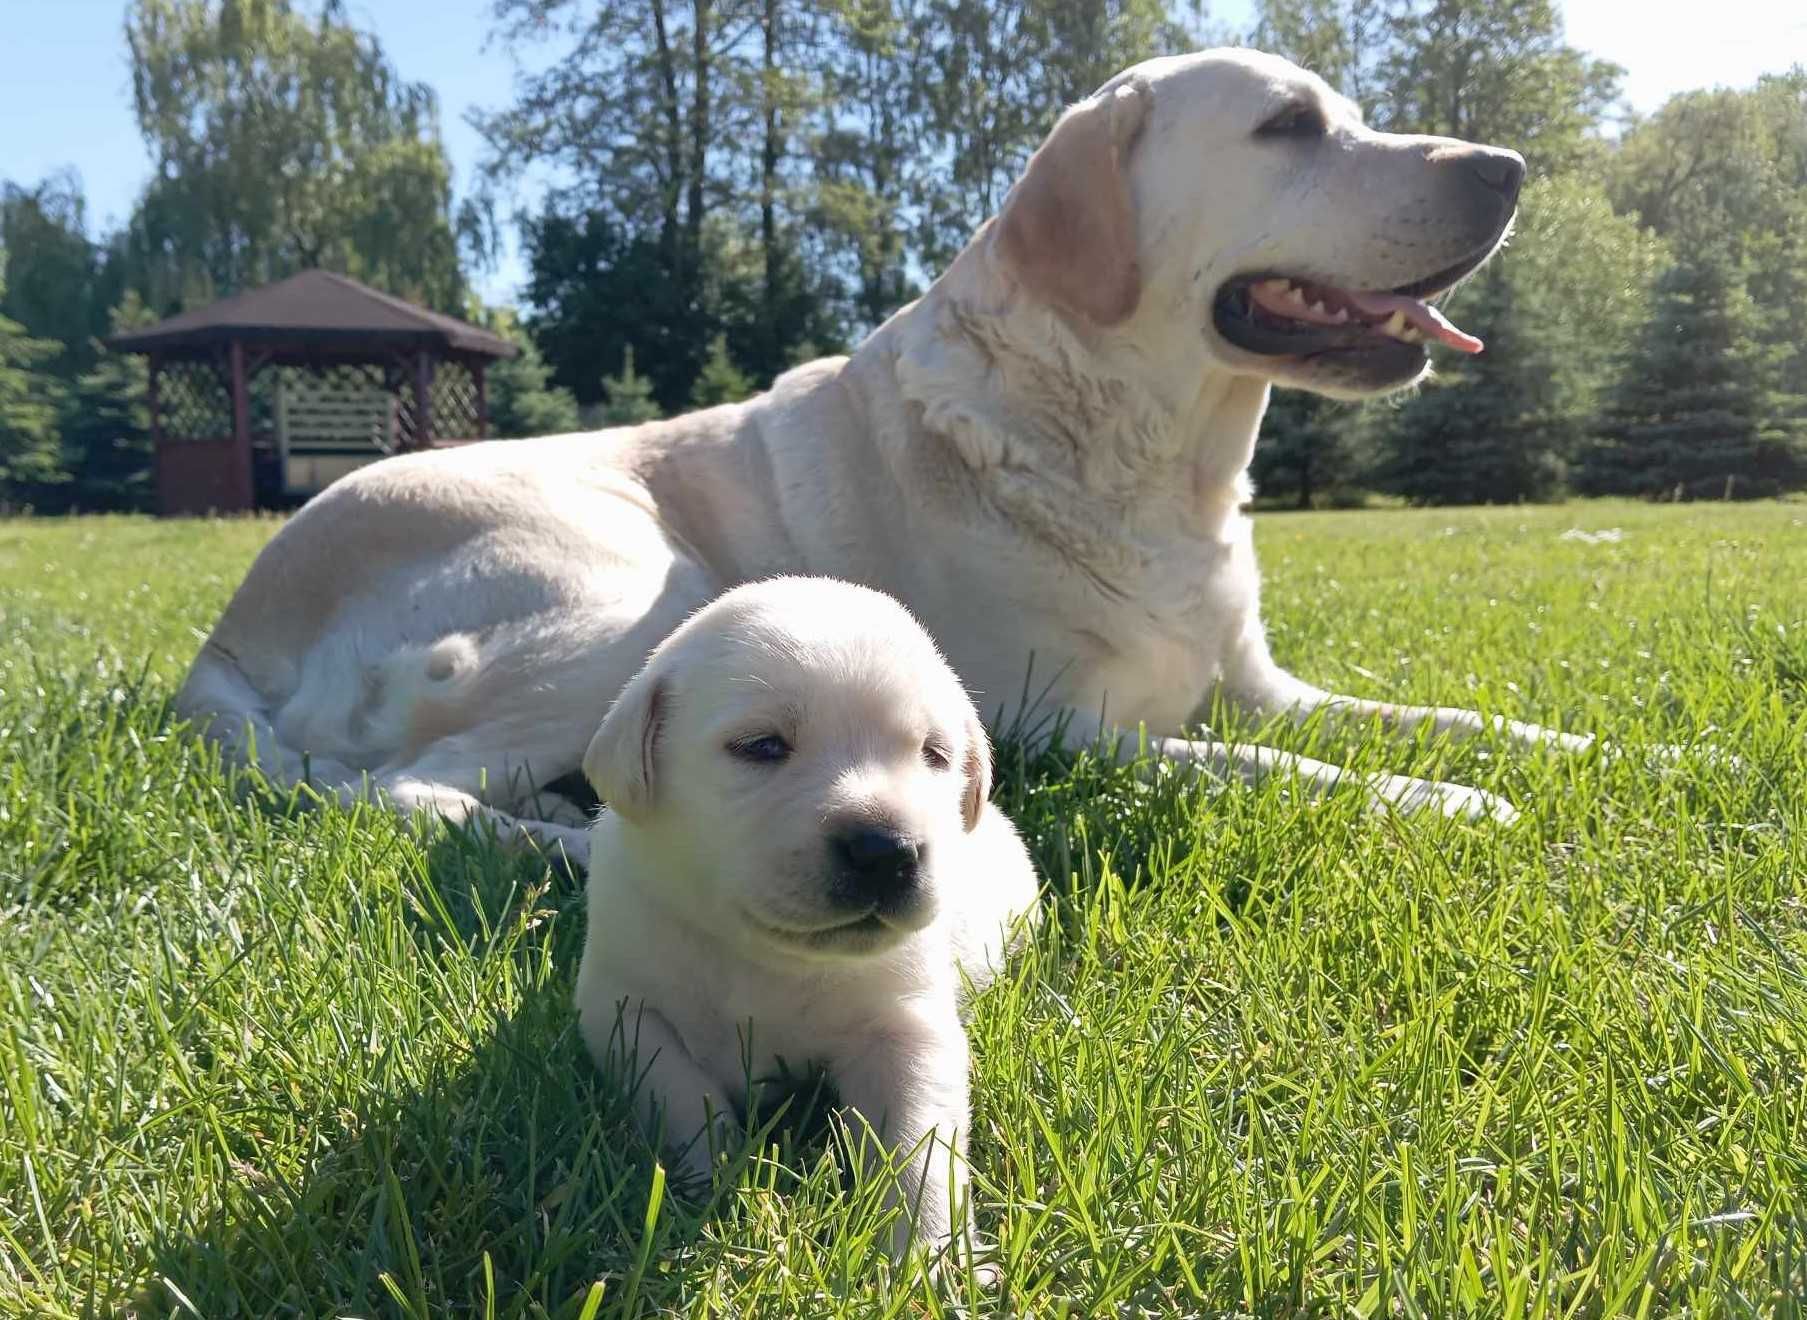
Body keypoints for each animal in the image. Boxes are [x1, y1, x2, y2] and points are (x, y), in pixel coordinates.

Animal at [571, 575, 1040, 1265]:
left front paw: (927, 1258)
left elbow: (919, 1148)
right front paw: (714, 1184)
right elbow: (678, 1089)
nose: (886, 850)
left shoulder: (906, 1026)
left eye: (934, 755)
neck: (773, 955)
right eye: (762, 746)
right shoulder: (622, 1006)